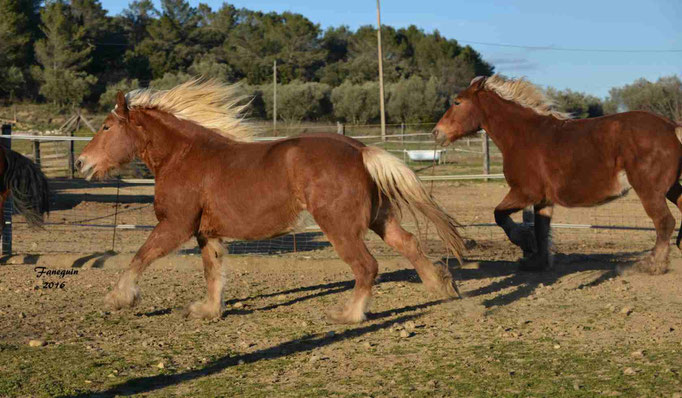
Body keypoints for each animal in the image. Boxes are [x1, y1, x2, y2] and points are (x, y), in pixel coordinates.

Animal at [77, 81, 464, 324]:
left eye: (107, 127)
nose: (81, 163)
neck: (183, 156)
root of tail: (360, 150)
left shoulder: (176, 225)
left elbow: (140, 256)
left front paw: (118, 298)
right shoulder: (207, 233)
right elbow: (213, 271)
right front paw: (207, 310)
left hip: (340, 225)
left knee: (367, 266)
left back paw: (347, 315)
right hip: (379, 218)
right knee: (409, 244)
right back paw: (442, 287)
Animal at [432, 74, 680, 274]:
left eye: (457, 102)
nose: (437, 133)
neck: (523, 135)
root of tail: (671, 127)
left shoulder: (525, 192)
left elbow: (499, 216)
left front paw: (525, 243)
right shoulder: (543, 200)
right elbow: (542, 230)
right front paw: (537, 262)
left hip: (649, 190)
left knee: (664, 222)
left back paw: (651, 265)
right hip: (672, 189)